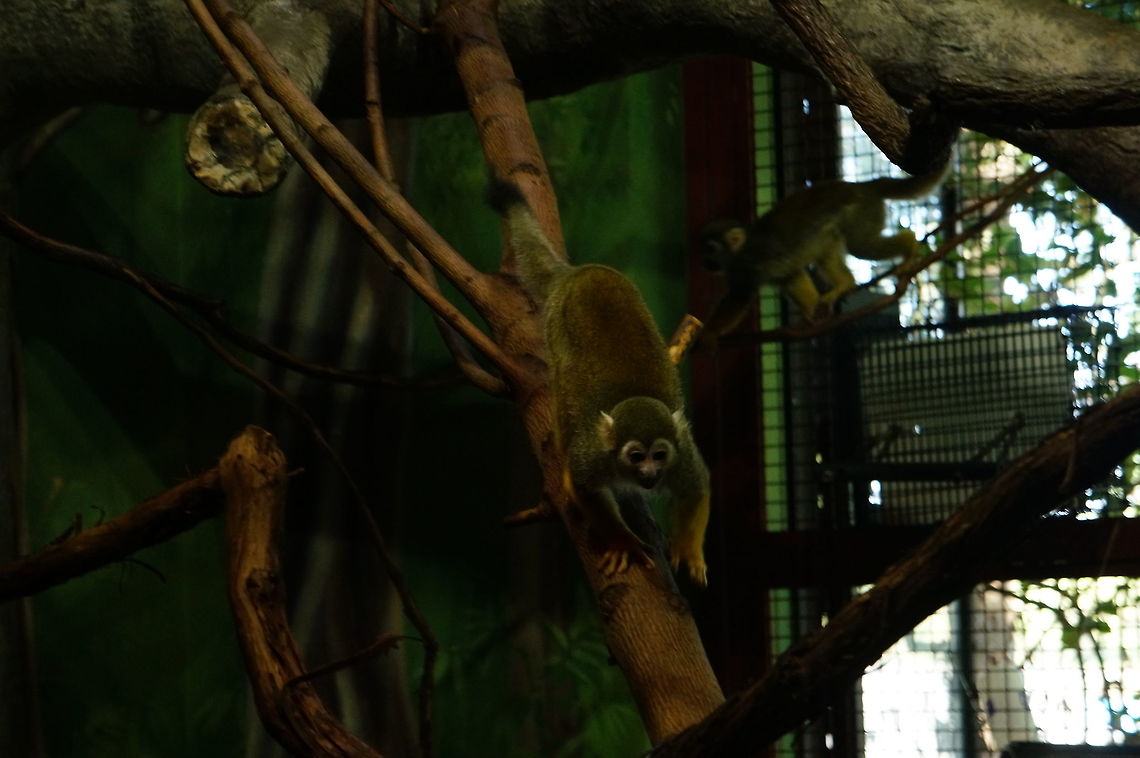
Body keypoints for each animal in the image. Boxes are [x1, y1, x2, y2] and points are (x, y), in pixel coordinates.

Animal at [488, 179, 711, 585]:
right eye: (636, 456)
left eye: (659, 455)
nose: (649, 474)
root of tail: (577, 272)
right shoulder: (592, 457)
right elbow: (586, 490)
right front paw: (623, 542)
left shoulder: (681, 453)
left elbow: (698, 486)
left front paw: (689, 552)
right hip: (555, 326)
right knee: (563, 391)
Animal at [699, 165, 947, 342]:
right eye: (704, 251)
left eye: (711, 249)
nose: (706, 263)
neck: (737, 252)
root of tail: (862, 186)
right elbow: (792, 275)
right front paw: (810, 316)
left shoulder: (748, 264)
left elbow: (740, 296)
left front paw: (708, 334)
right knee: (827, 248)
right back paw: (845, 284)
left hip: (862, 213)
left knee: (861, 246)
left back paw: (909, 246)